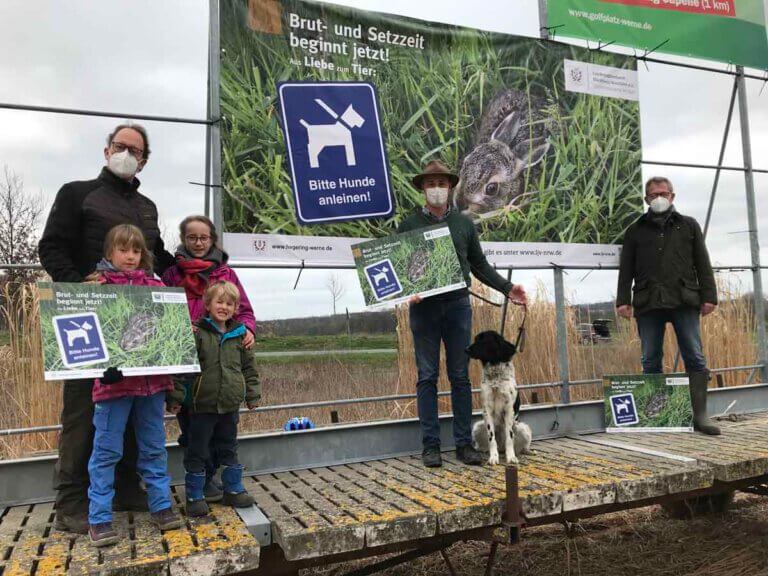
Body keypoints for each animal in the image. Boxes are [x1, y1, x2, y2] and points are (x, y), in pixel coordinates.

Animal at [464, 330, 532, 466]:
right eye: (476, 339)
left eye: (483, 340)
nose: (466, 349)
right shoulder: (487, 410)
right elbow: (492, 438)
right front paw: (493, 458)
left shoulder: (509, 409)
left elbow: (509, 438)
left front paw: (511, 457)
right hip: (478, 426)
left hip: (522, 428)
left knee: (521, 446)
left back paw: (526, 451)